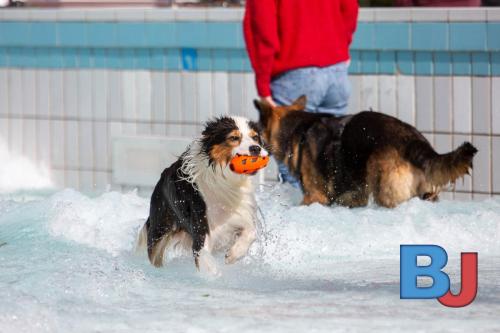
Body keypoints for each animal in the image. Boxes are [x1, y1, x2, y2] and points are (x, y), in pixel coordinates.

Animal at [137, 115, 268, 274]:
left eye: (255, 137)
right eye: (234, 138)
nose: (256, 148)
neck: (227, 181)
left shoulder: (242, 214)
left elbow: (251, 232)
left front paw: (233, 255)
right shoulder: (201, 230)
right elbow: (205, 257)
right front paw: (215, 274)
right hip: (159, 228)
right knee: (154, 253)